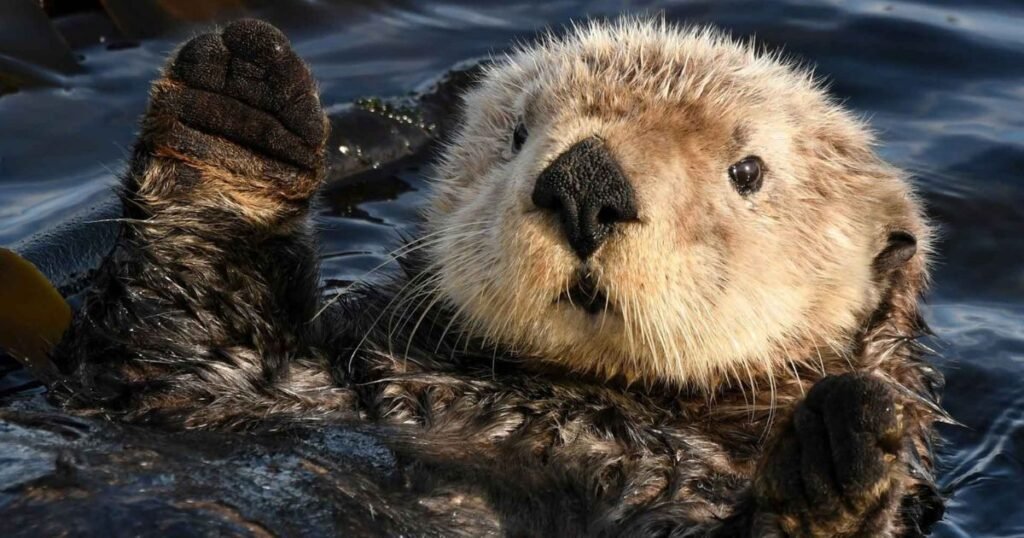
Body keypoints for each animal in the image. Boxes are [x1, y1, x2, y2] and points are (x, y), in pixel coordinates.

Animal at [50, 18, 945, 537]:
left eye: (748, 171)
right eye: (516, 135)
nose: (584, 181)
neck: (560, 399)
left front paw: (836, 452)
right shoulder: (254, 392)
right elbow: (176, 357)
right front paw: (239, 107)